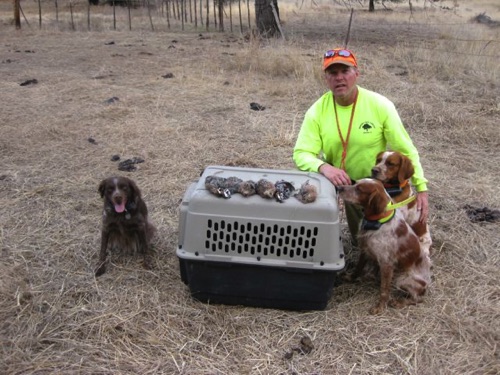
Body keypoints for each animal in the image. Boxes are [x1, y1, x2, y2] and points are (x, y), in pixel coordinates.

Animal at [338, 179, 432, 314]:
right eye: (355, 184)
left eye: (359, 189)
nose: (339, 187)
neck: (378, 221)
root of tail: (427, 284)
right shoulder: (365, 249)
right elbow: (358, 268)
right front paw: (350, 277)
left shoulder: (386, 264)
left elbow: (384, 290)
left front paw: (380, 307)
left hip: (402, 280)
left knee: (417, 298)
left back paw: (399, 302)